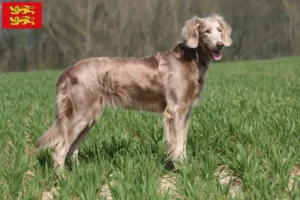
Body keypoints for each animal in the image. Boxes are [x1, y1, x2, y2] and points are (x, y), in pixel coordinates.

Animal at [35, 13, 232, 169]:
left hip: (89, 117)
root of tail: (67, 72)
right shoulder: (175, 110)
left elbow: (182, 141)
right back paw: (62, 180)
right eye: (206, 31)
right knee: (60, 149)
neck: (190, 59)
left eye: (219, 30)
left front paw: (185, 165)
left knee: (72, 150)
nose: (220, 44)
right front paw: (179, 168)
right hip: (79, 115)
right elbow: (176, 143)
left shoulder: (186, 110)